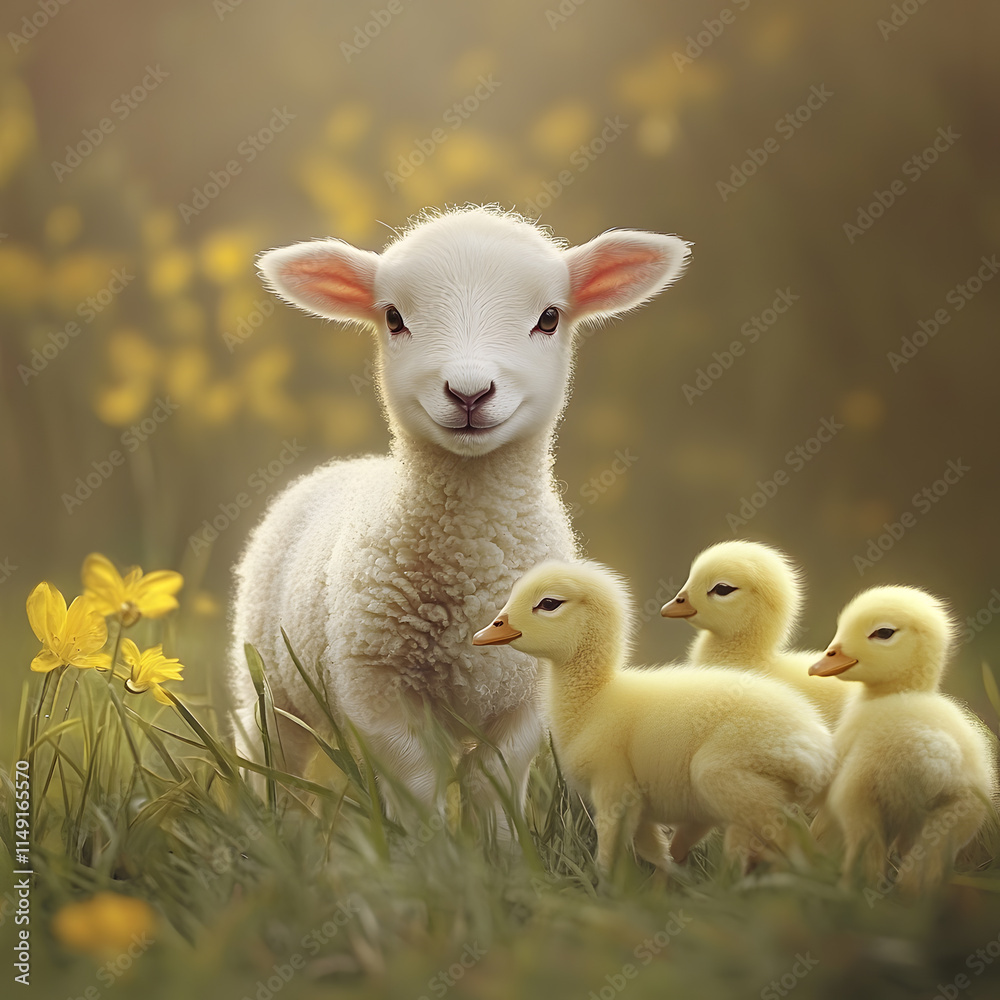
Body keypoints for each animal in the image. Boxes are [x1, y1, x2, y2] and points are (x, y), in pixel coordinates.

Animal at [228, 205, 690, 827]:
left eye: (549, 317)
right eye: (393, 317)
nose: (469, 393)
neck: (472, 554)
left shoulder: (529, 692)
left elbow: (493, 780)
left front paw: (497, 844)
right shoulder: (374, 685)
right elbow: (420, 781)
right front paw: (431, 845)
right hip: (271, 680)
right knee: (271, 753)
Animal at [474, 560, 835, 873]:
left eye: (549, 603)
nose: (483, 633)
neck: (596, 700)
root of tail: (814, 753)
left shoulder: (615, 785)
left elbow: (613, 851)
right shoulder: (642, 808)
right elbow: (656, 854)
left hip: (723, 775)